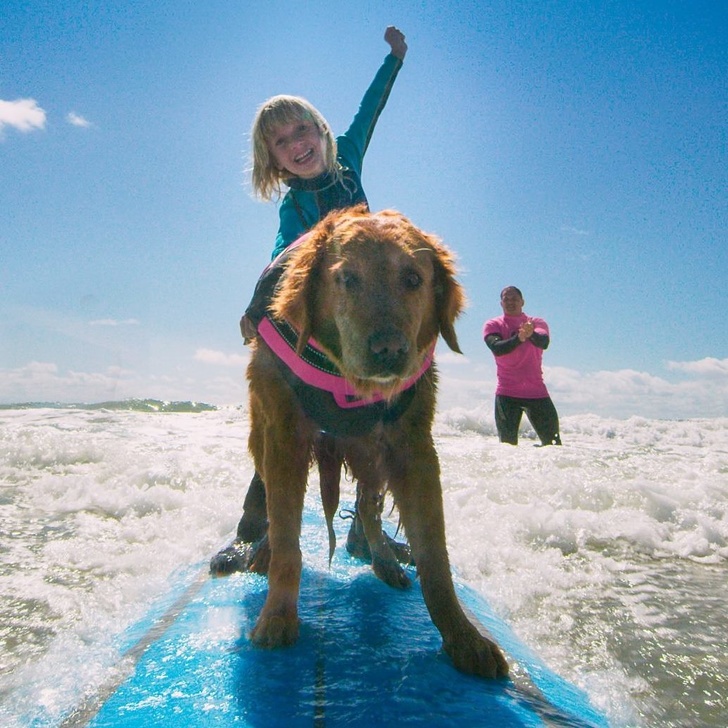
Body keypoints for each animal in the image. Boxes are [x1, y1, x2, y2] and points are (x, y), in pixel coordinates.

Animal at [245, 208, 506, 680]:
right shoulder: (284, 435)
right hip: (264, 435)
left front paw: (463, 637)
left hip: (372, 451)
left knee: (368, 508)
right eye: (347, 278)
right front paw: (277, 616)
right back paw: (262, 551)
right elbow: (288, 539)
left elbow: (436, 559)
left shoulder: (414, 450)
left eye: (413, 278)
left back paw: (383, 559)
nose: (389, 349)